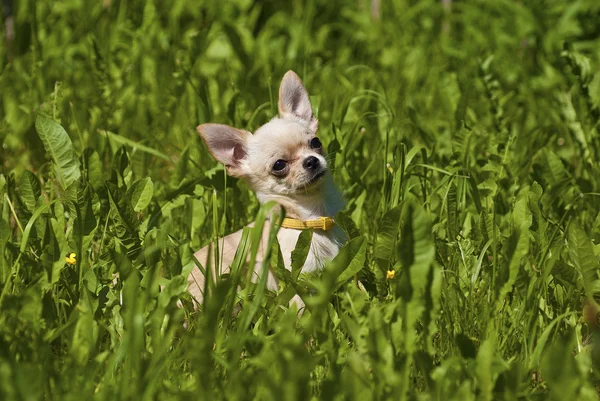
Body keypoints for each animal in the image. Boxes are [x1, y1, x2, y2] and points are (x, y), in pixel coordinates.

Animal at [188, 70, 346, 310]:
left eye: (315, 142)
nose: (311, 161)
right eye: (279, 165)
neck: (312, 219)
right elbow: (301, 309)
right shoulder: (298, 281)